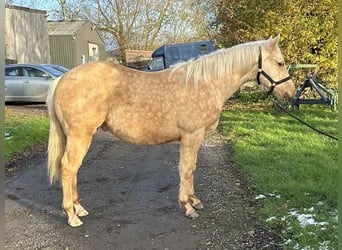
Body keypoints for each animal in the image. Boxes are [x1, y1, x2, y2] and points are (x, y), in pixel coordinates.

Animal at [46, 35, 296, 227]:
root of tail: (63, 78)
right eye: (280, 63)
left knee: (73, 170)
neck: (205, 83)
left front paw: (194, 201)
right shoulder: (191, 136)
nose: (290, 93)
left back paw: (79, 208)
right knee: (68, 167)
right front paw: (188, 206)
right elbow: (186, 170)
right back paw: (72, 215)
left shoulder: (194, 138)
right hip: (80, 135)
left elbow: (192, 169)